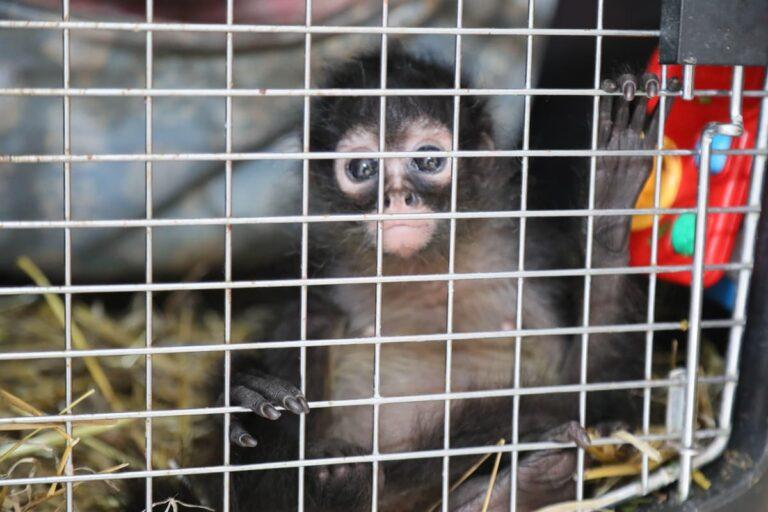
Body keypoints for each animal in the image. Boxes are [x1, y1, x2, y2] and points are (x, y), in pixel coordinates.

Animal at [191, 51, 677, 512]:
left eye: (428, 160)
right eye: (363, 168)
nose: (397, 198)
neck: (426, 270)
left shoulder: (536, 259)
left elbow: (591, 387)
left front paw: (609, 206)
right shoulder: (313, 285)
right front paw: (246, 396)